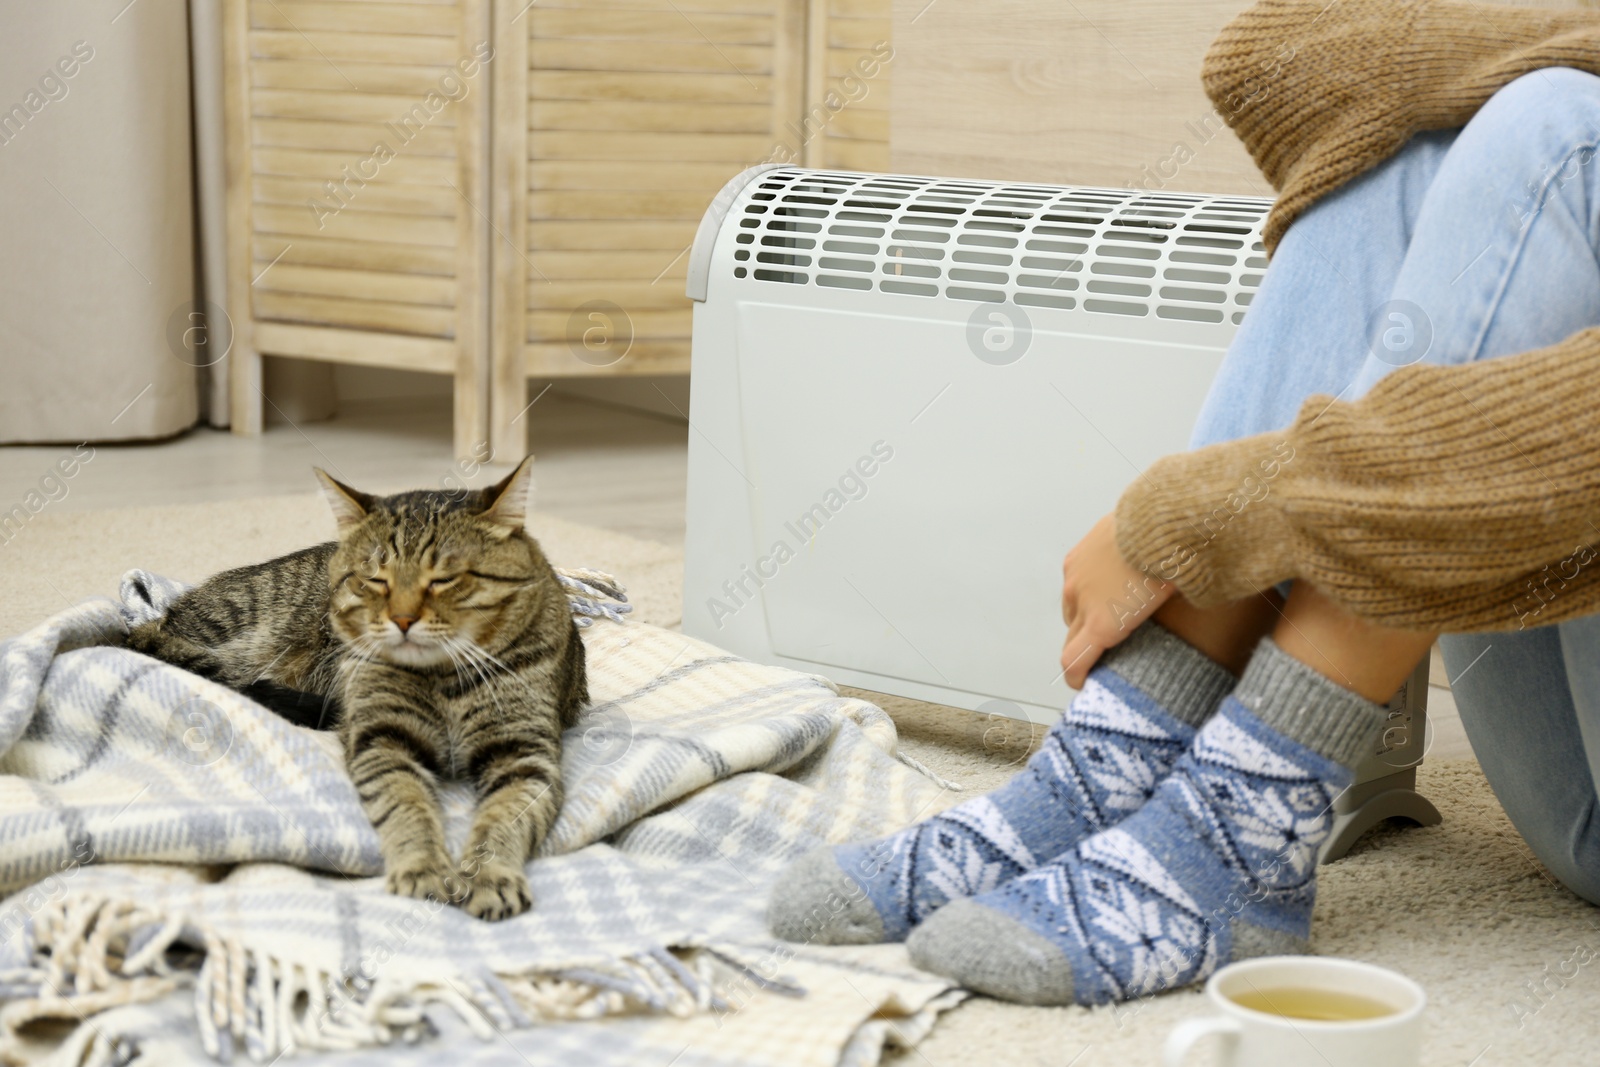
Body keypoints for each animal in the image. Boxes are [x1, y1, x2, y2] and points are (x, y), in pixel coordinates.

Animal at [124, 457, 588, 921]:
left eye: (445, 579)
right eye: (375, 580)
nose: (402, 619)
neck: (442, 678)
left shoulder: (524, 752)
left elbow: (503, 819)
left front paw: (491, 878)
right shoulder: (382, 737)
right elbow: (405, 803)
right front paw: (422, 869)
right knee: (156, 636)